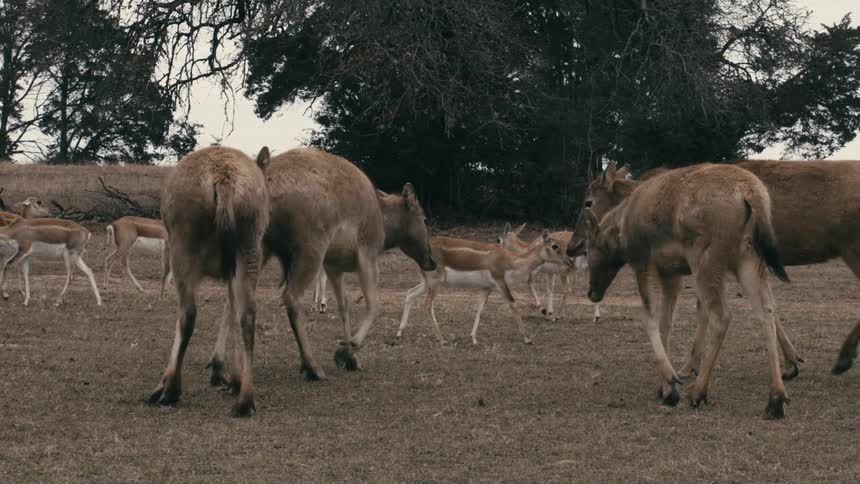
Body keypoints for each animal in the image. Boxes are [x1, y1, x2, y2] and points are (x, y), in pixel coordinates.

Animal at [146, 145, 270, 417]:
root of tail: (224, 181)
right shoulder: (230, 268)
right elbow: (232, 311)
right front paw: (230, 376)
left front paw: (162, 382)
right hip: (249, 248)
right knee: (248, 314)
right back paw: (245, 399)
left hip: (183, 245)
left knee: (188, 314)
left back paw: (171, 389)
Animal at [205, 147, 436, 389]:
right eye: (423, 218)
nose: (431, 259)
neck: (385, 228)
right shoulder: (367, 252)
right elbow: (374, 305)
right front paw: (347, 348)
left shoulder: (334, 264)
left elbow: (344, 306)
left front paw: (351, 356)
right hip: (310, 245)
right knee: (291, 297)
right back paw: (312, 366)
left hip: (256, 247)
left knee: (232, 296)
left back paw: (219, 367)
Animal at [396, 230, 567, 345]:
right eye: (555, 246)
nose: (569, 259)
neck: (511, 262)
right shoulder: (500, 282)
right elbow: (513, 304)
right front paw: (528, 338)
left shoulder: (486, 287)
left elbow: (479, 310)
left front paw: (474, 339)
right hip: (435, 282)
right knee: (427, 305)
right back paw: (442, 339)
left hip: (427, 282)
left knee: (410, 293)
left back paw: (399, 334)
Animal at [579, 162, 791, 419]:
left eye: (588, 250)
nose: (592, 292)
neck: (620, 233)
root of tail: (752, 194)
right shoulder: (670, 274)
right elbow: (666, 324)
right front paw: (663, 386)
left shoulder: (643, 263)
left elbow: (648, 318)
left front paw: (671, 384)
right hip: (748, 258)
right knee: (766, 310)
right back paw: (776, 398)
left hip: (705, 259)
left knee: (722, 315)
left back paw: (698, 392)